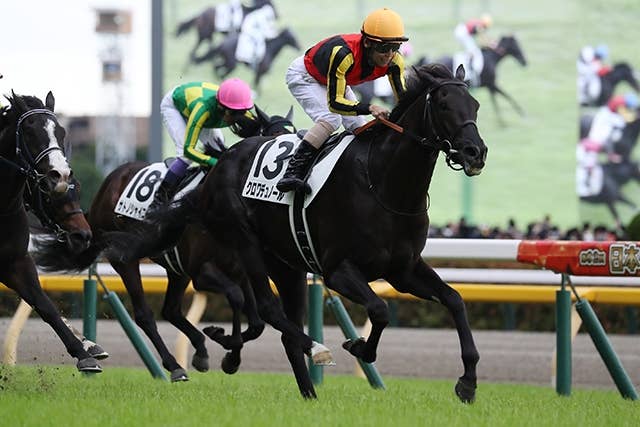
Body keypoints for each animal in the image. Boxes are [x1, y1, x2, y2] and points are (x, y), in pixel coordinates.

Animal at [0, 91, 101, 372]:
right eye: (30, 131)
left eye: (61, 131)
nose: (61, 175)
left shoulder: (16, 262)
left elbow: (44, 304)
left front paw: (84, 351)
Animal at [32, 106, 296, 381]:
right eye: (274, 141)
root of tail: (105, 188)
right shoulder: (202, 272)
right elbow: (235, 297)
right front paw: (227, 348)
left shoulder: (239, 270)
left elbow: (255, 322)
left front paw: (229, 355)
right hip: (125, 260)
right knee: (145, 315)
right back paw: (174, 365)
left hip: (176, 269)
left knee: (170, 310)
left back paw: (199, 350)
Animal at [124, 64, 488, 401]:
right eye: (443, 104)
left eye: (475, 105)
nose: (476, 152)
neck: (385, 184)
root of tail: (220, 164)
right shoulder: (338, 270)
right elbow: (380, 310)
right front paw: (358, 346)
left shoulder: (403, 270)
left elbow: (454, 300)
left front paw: (468, 381)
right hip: (245, 242)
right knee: (269, 310)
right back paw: (312, 349)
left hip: (286, 265)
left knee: (283, 327)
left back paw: (306, 391)